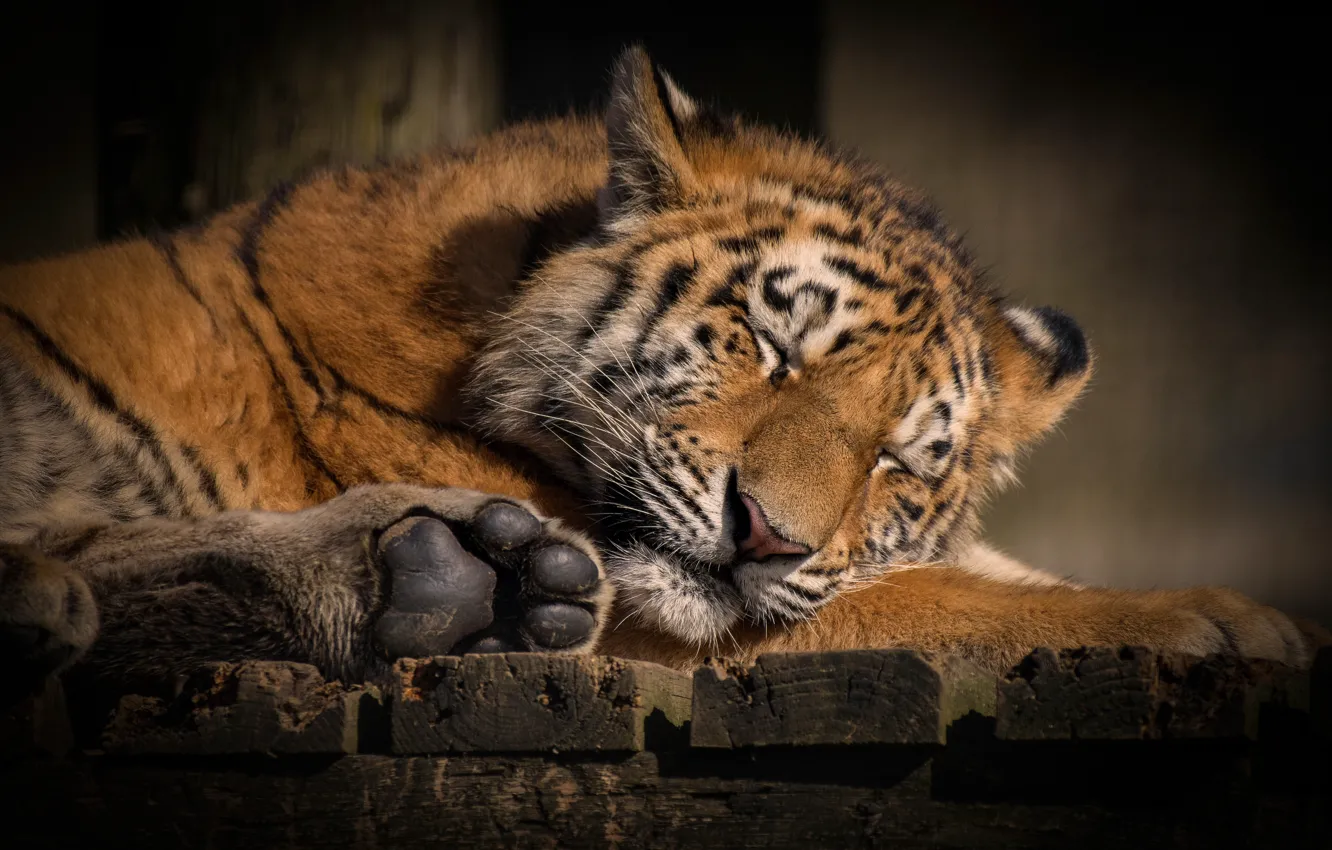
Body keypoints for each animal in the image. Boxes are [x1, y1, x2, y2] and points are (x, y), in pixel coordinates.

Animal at [0, 47, 1322, 700]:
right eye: (772, 345)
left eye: (895, 458)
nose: (768, 537)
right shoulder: (678, 614)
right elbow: (945, 599)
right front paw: (1220, 622)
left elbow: (981, 571)